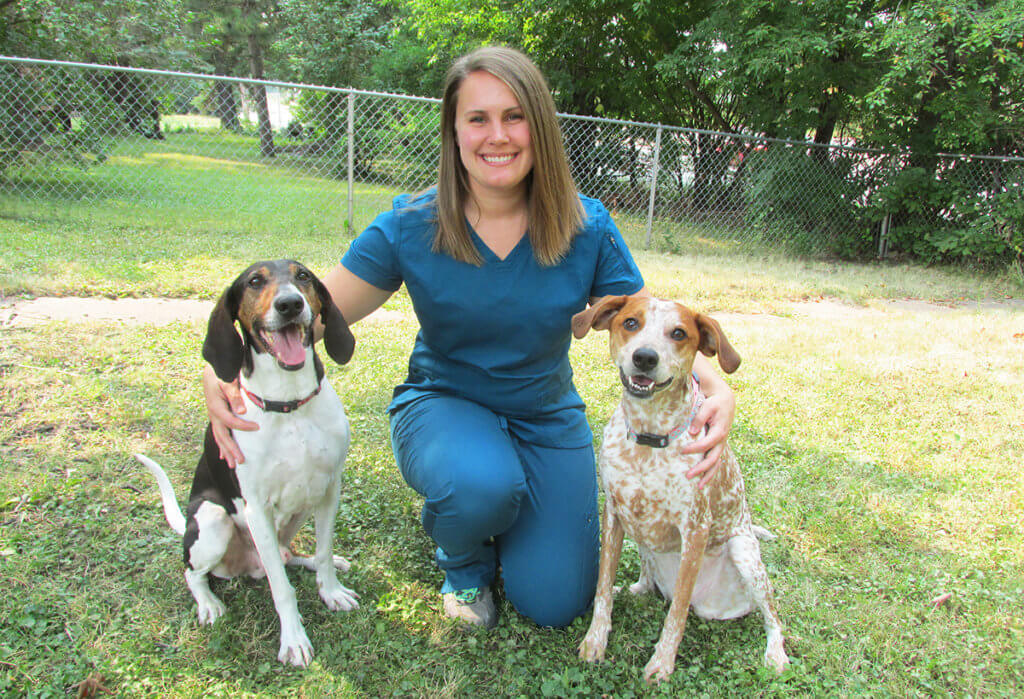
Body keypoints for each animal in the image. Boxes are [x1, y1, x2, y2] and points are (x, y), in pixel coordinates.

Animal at [135, 259, 360, 671]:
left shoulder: (328, 490)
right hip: (213, 522)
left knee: (288, 557)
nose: (290, 304)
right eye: (255, 281)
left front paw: (331, 590)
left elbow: (321, 552)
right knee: (195, 572)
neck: (290, 405)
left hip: (297, 514)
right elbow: (281, 588)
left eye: (303, 276)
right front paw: (294, 639)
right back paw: (208, 603)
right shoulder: (257, 509)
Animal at [573, 294, 786, 683]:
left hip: (744, 553)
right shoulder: (613, 514)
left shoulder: (695, 529)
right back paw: (635, 589)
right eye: (630, 323)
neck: (648, 436)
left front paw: (662, 662)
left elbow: (678, 614)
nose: (645, 357)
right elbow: (601, 590)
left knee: (772, 616)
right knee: (645, 581)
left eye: (678, 333)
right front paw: (595, 639)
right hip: (641, 539)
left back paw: (775, 653)